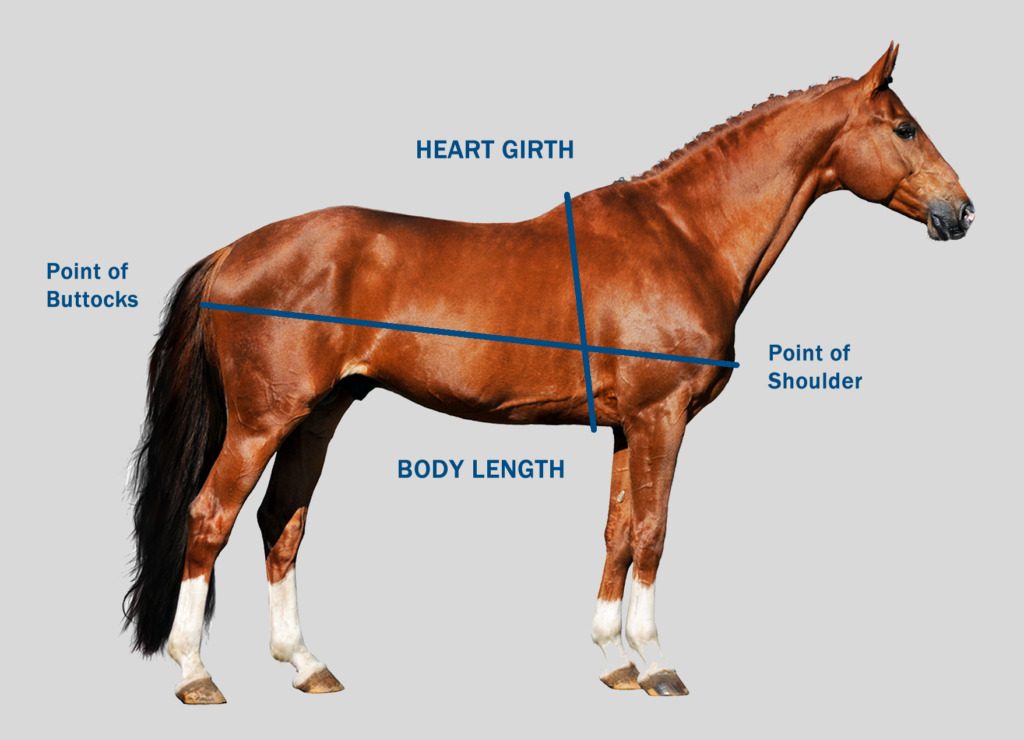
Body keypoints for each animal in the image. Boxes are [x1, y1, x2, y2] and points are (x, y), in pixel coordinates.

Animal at [123, 43, 974, 703]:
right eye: (904, 126)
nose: (961, 211)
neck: (684, 235)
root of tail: (234, 251)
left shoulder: (630, 425)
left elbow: (618, 531)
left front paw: (614, 659)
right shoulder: (662, 417)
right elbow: (654, 531)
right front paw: (656, 664)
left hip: (319, 415)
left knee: (282, 524)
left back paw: (307, 666)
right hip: (264, 421)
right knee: (212, 517)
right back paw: (195, 674)